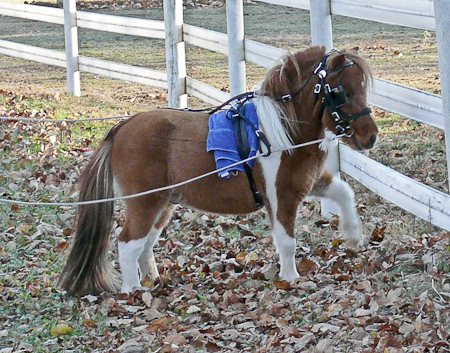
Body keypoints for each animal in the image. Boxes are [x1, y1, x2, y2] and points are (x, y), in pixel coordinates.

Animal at [59, 46, 376, 294]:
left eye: (363, 89)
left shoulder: (310, 183)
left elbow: (344, 193)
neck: (281, 129)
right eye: (342, 92)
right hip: (145, 202)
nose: (370, 137)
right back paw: (133, 291)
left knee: (145, 244)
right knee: (128, 243)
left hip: (163, 203)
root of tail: (122, 126)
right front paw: (291, 278)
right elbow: (287, 241)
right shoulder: (281, 197)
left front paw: (352, 236)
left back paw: (151, 281)